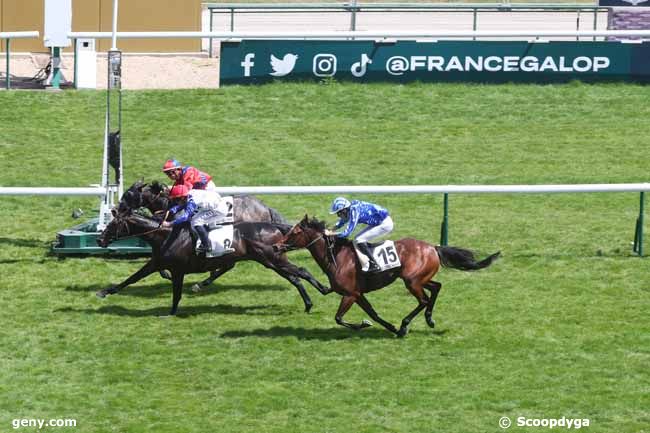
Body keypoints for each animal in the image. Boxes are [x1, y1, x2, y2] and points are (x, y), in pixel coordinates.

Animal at [96, 208, 330, 316]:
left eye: (113, 224)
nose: (99, 240)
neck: (166, 235)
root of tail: (274, 226)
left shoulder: (178, 269)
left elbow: (176, 293)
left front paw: (171, 313)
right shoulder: (157, 264)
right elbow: (131, 278)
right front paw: (105, 291)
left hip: (272, 258)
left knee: (301, 270)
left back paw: (324, 289)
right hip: (272, 261)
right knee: (295, 277)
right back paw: (309, 303)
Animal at [276, 218, 498, 336]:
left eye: (294, 232)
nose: (277, 246)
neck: (337, 257)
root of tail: (433, 247)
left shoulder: (350, 294)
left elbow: (339, 318)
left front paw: (365, 325)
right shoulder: (358, 294)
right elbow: (373, 314)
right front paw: (388, 326)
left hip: (412, 281)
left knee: (424, 300)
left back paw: (405, 325)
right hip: (419, 279)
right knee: (436, 287)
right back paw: (428, 319)